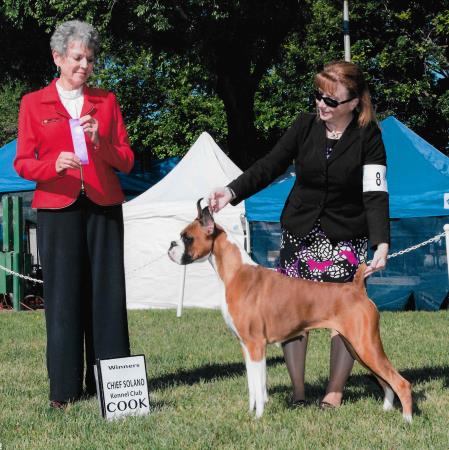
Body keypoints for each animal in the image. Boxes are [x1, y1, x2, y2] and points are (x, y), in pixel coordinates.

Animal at [168, 199, 412, 422]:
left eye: (187, 237)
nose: (171, 245)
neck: (236, 272)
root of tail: (356, 288)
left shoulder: (256, 346)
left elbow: (259, 387)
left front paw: (258, 418)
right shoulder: (246, 347)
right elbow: (253, 386)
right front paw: (250, 413)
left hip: (366, 346)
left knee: (400, 382)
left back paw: (407, 420)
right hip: (357, 348)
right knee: (386, 382)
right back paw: (386, 409)